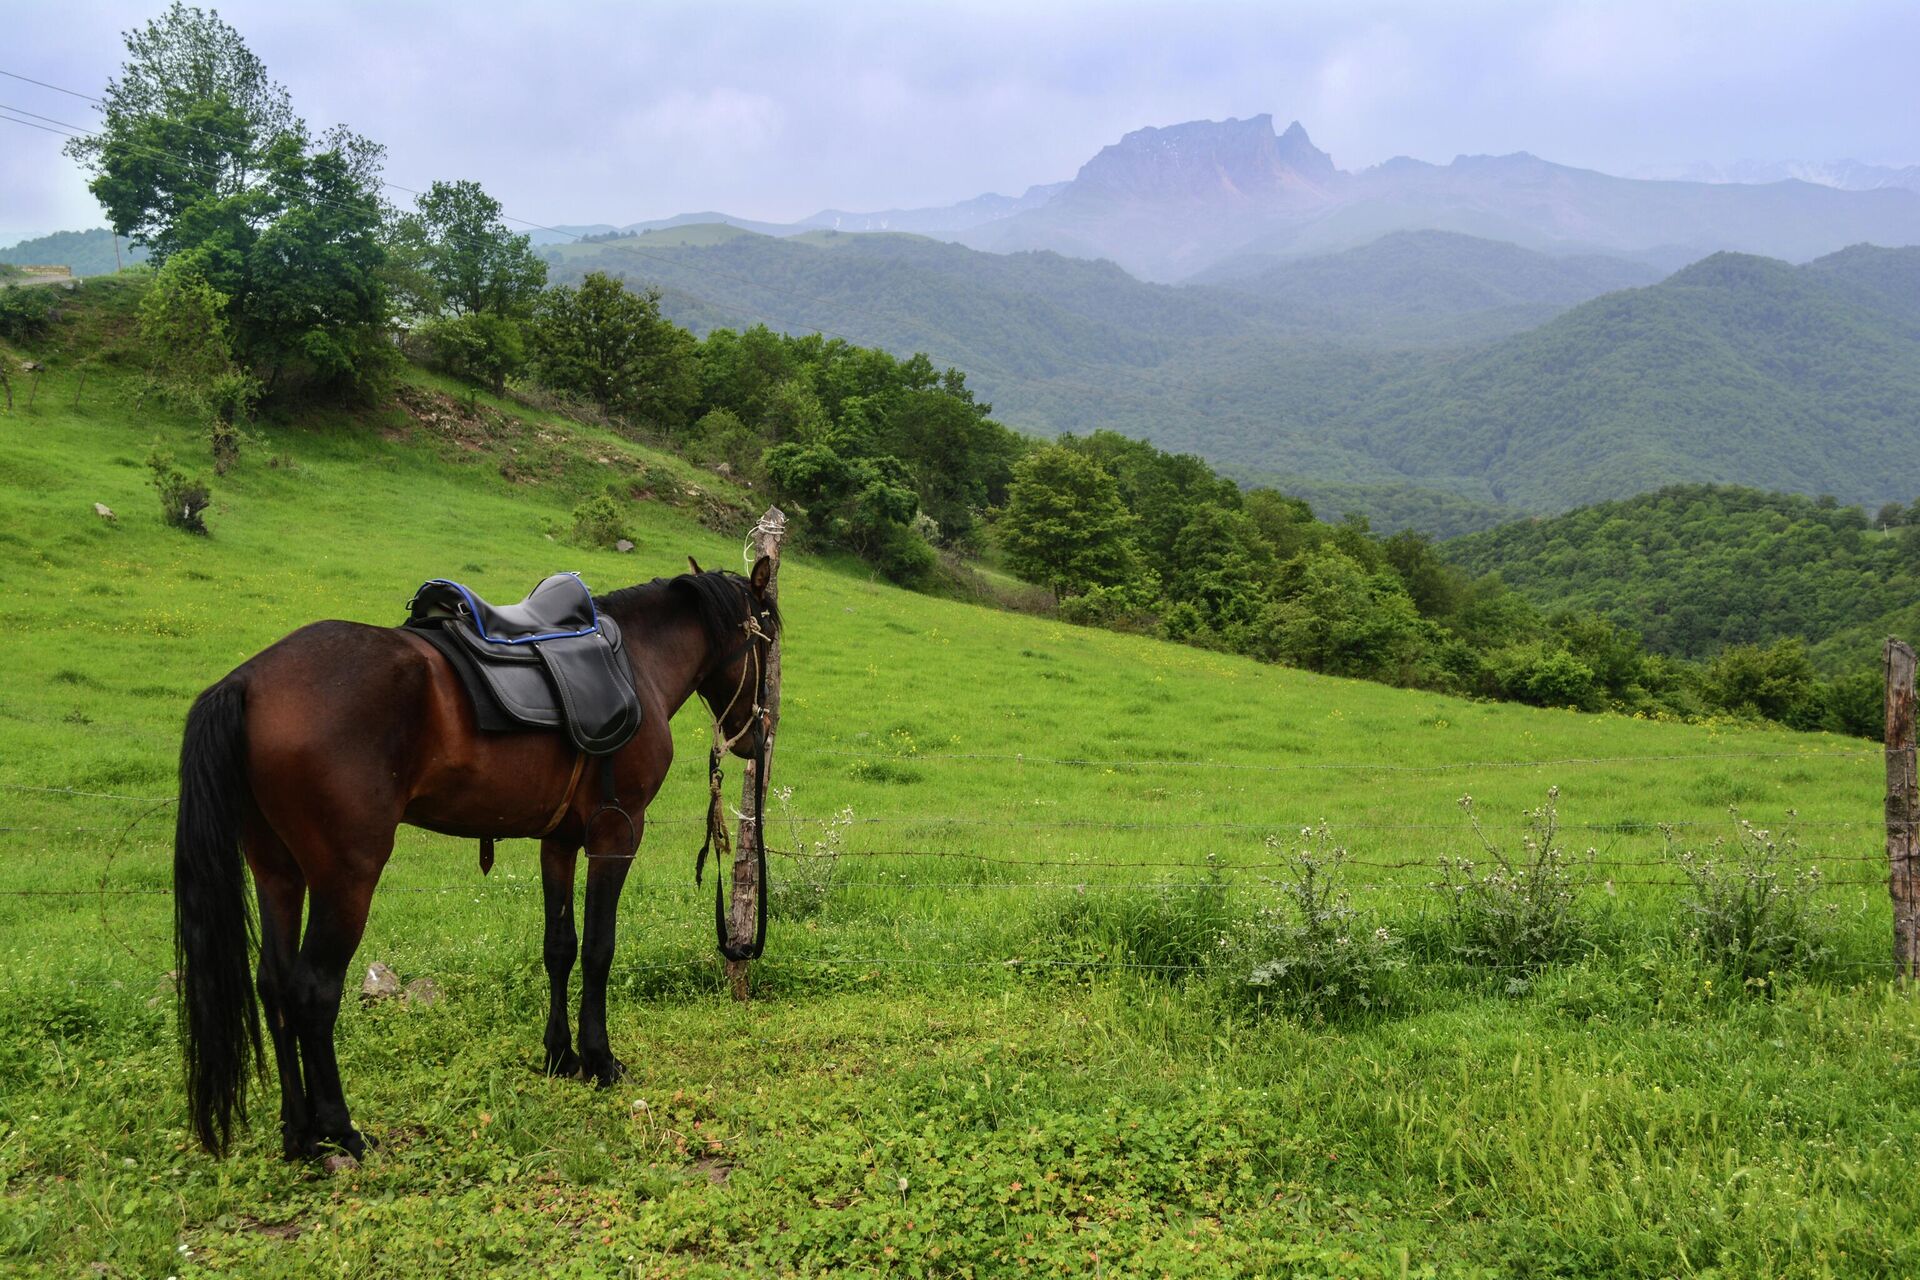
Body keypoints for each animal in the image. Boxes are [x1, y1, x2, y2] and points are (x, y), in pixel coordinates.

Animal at [172, 560, 779, 1159]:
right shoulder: (618, 831)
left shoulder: (558, 842)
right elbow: (599, 950)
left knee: (273, 986)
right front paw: (600, 1060)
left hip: (277, 872)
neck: (637, 663)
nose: (761, 736)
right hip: (344, 879)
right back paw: (340, 1130)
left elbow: (560, 948)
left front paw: (560, 1057)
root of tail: (248, 681)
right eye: (769, 641)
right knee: (312, 991)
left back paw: (299, 1134)